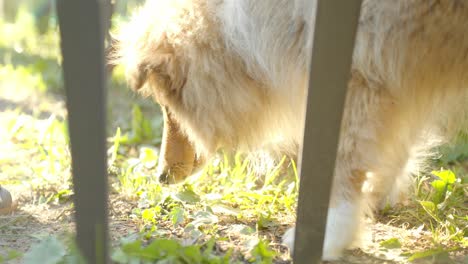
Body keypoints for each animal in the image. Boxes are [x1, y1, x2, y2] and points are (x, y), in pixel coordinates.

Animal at [114, 0, 468, 260]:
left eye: (170, 108)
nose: (161, 177)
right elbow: (396, 146)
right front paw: (378, 194)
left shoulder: (358, 70)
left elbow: (345, 160)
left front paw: (327, 234)